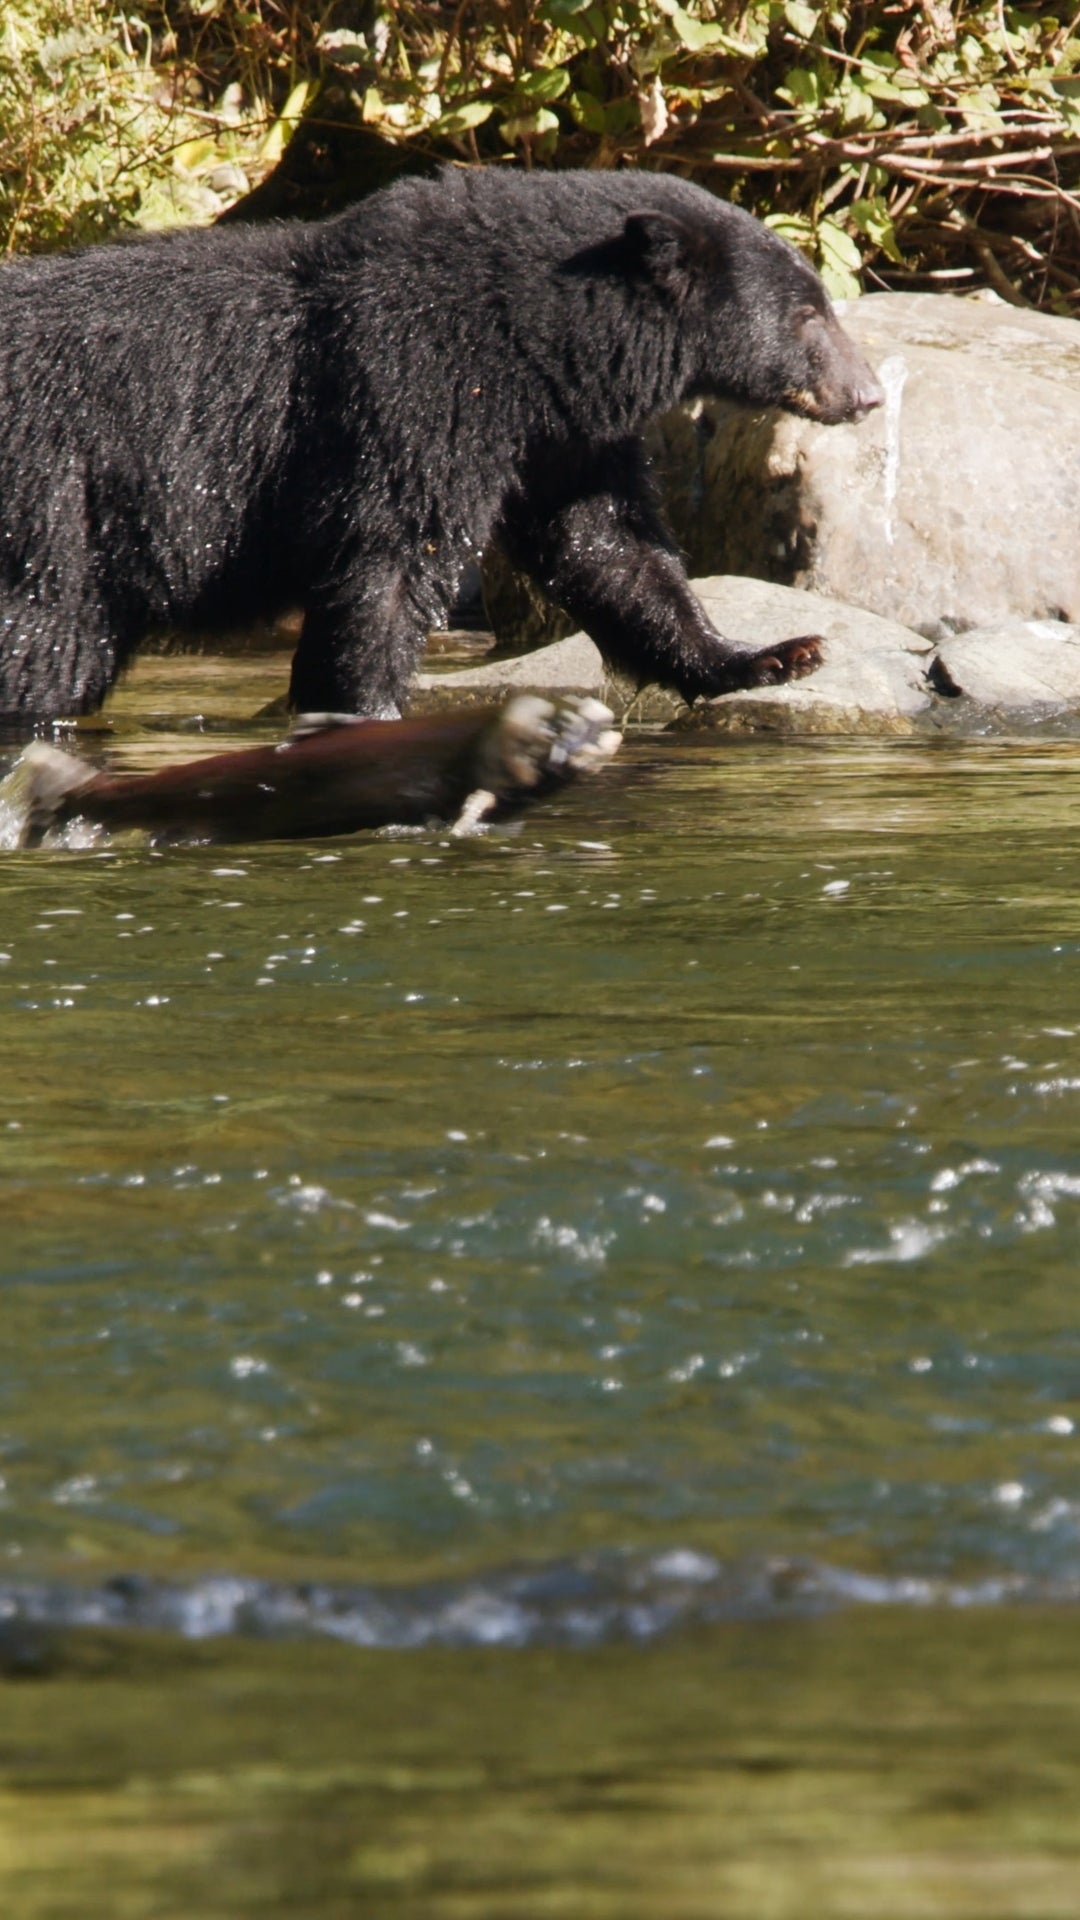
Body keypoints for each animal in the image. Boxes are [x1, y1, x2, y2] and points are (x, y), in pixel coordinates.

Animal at [0, 163, 880, 721]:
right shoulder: (405, 388)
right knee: (43, 645)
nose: (868, 393)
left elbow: (609, 546)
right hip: (55, 505)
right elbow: (389, 557)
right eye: (808, 315)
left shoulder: (557, 435)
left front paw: (771, 653)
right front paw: (363, 708)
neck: (525, 340)